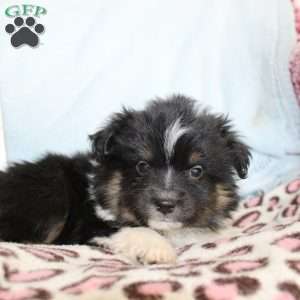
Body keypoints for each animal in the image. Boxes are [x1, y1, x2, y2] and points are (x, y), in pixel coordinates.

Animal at [0, 95, 250, 264]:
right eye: (142, 166)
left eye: (196, 171)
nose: (165, 204)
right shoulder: (90, 225)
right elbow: (128, 229)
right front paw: (159, 250)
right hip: (51, 190)